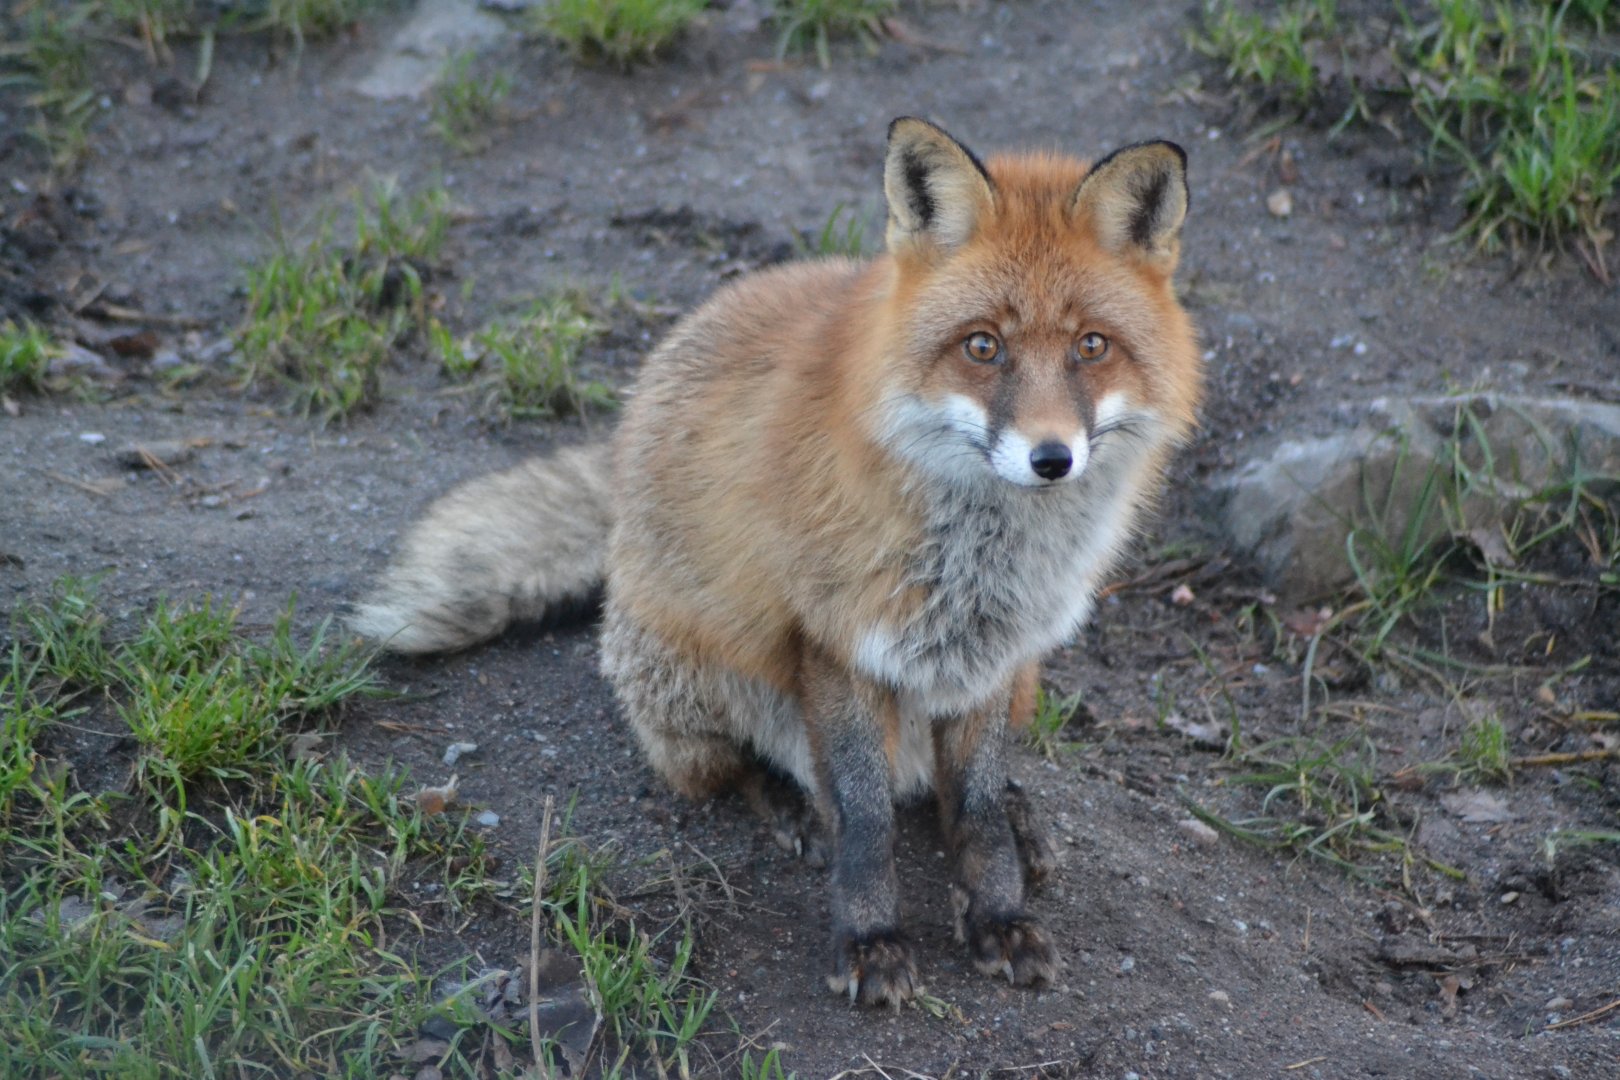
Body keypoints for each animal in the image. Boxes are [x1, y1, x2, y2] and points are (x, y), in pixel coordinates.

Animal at [353, 117, 1202, 1008]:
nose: (1052, 458)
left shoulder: (995, 652)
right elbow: (864, 816)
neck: (982, 557)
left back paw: (1019, 814)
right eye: (983, 347)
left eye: (1092, 347)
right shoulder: (833, 638)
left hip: (1027, 680)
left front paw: (999, 912)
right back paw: (790, 802)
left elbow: (972, 810)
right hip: (686, 673)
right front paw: (868, 939)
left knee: (955, 783)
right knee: (732, 770)